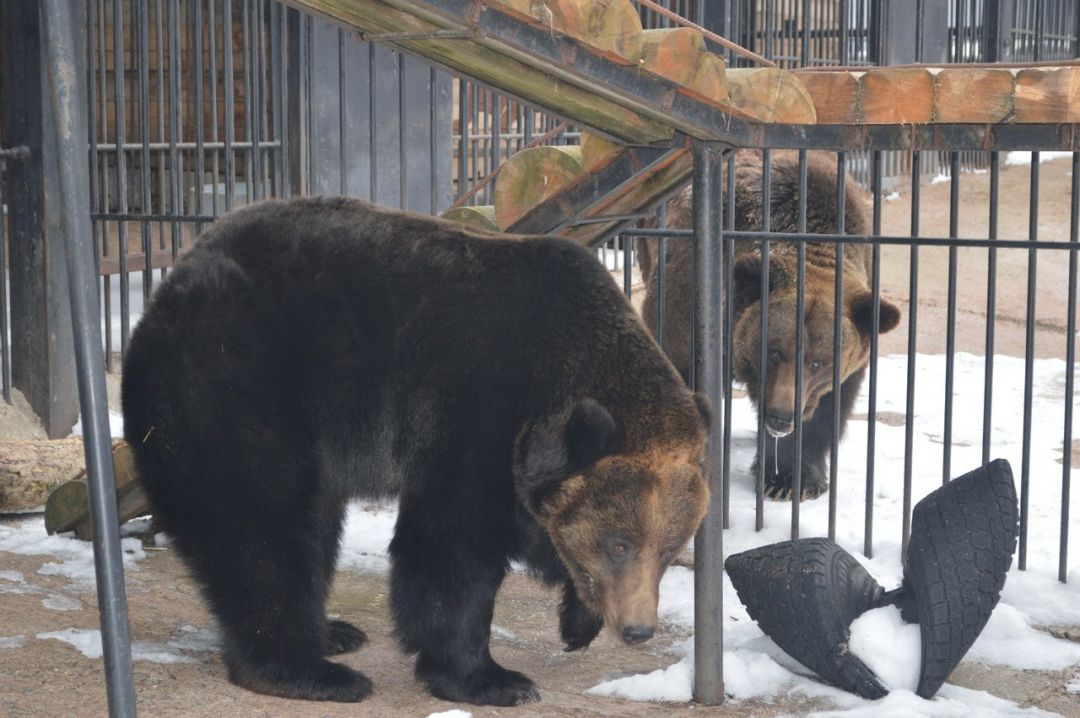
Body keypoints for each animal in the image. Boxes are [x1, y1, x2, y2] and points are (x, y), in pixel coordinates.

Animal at [122, 196, 708, 703]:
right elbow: (451, 546)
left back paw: (332, 630)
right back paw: (309, 669)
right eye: (620, 544)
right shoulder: (477, 409)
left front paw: (577, 621)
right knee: (258, 521)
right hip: (238, 383)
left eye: (670, 548)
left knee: (312, 523)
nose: (638, 629)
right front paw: (492, 677)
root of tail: (172, 279)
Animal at [635, 151, 898, 498]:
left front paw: (790, 479)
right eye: (774, 351)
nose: (780, 415)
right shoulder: (687, 307)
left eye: (819, 362)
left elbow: (826, 410)